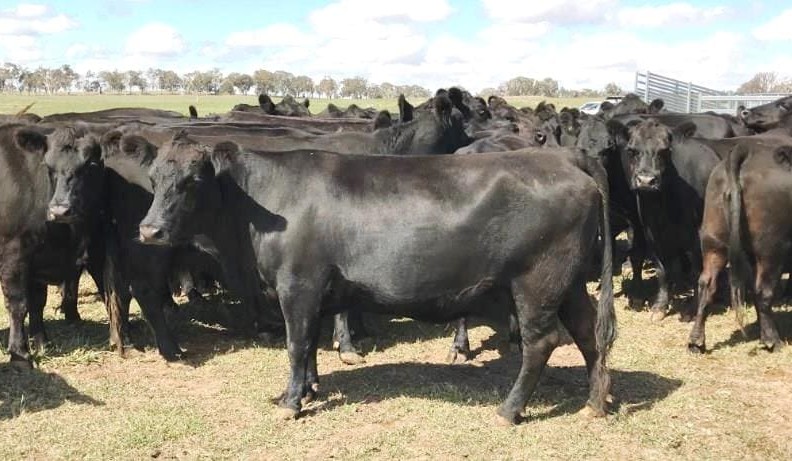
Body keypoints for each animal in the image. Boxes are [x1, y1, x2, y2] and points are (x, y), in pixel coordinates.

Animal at [136, 132, 616, 424]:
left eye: (193, 180)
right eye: (155, 179)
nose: (149, 230)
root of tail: (563, 156)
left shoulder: (298, 284)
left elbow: (296, 344)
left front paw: (291, 403)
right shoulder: (315, 290)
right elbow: (311, 344)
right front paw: (308, 389)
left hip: (537, 282)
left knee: (542, 342)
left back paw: (509, 410)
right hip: (569, 283)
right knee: (589, 334)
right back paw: (594, 404)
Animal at [689, 140, 792, 352]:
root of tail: (748, 152)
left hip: (714, 242)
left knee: (707, 284)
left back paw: (696, 341)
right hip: (772, 249)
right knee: (763, 290)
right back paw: (772, 340)